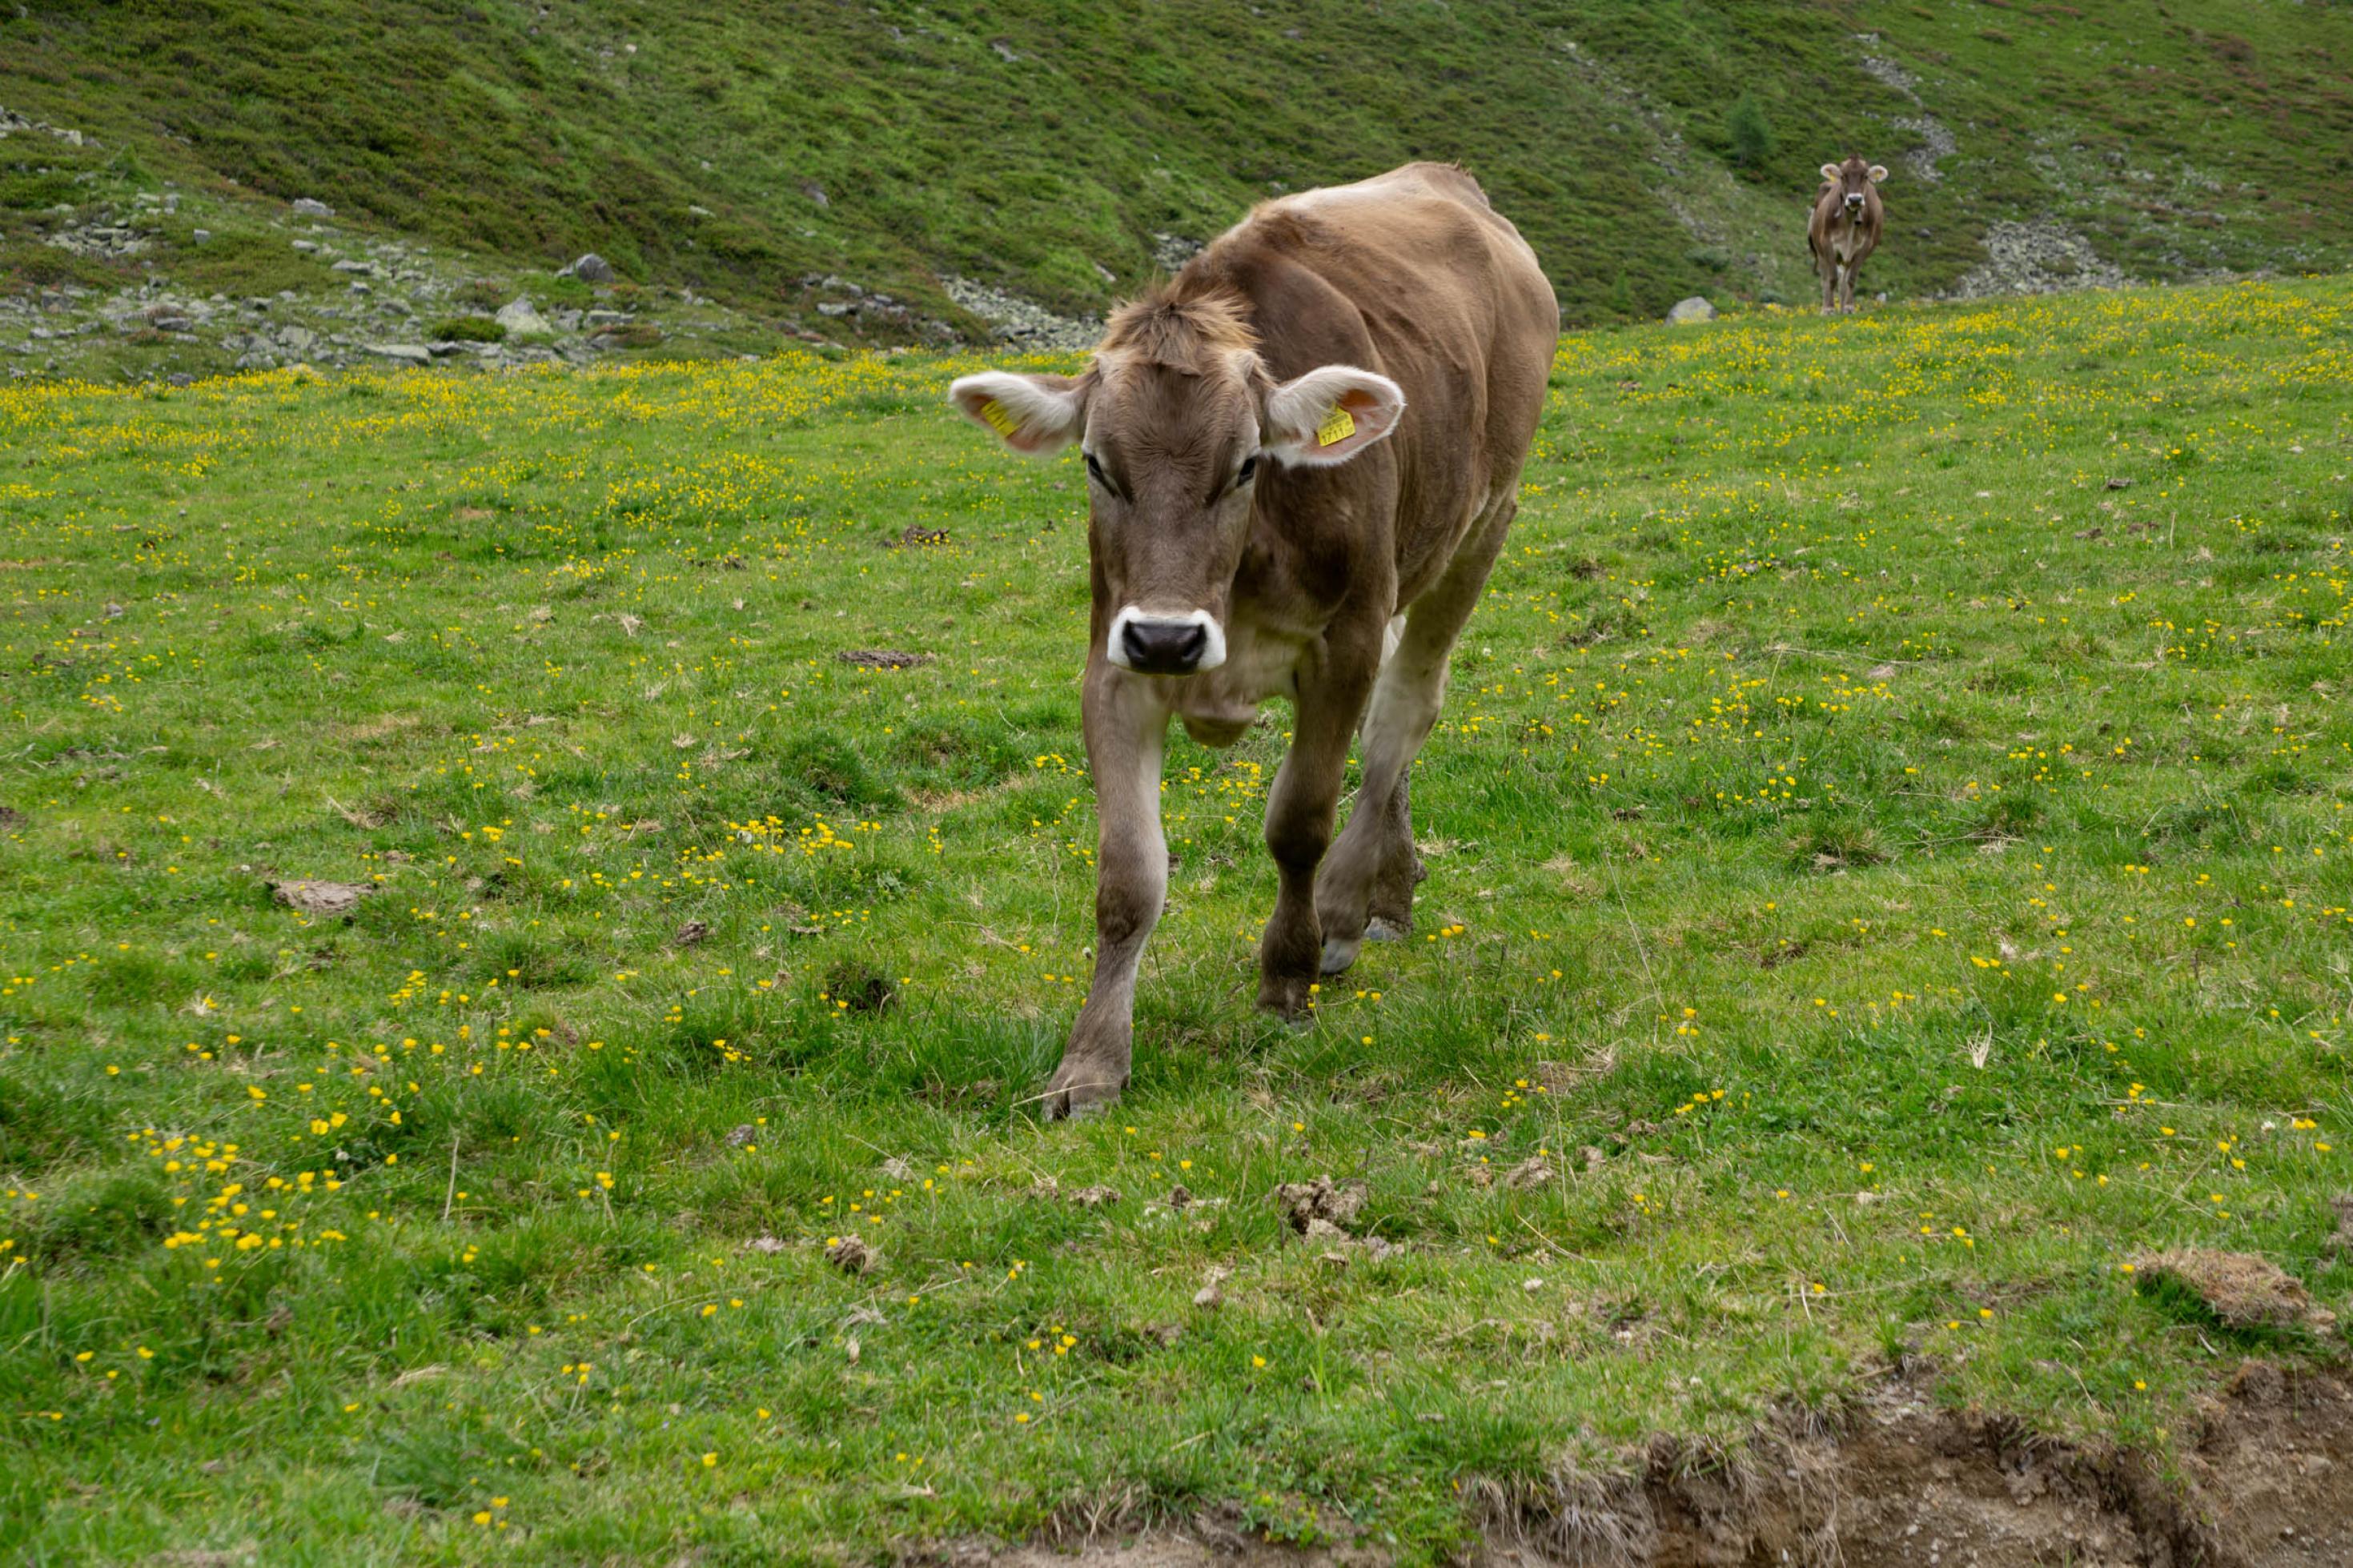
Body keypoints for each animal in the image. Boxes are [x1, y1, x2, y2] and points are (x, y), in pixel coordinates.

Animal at [946, 162, 1552, 1114]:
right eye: (1095, 465)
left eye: (1245, 464)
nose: (1168, 639)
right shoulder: (1113, 664)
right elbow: (1127, 875)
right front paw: (1091, 1063)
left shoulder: (1342, 644)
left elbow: (1299, 820)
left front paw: (1286, 978)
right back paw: (1391, 890)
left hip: (1482, 524)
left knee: (1402, 716)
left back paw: (1345, 909)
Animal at [1807, 154, 1882, 315]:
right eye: (1842, 176)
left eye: (1866, 176)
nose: (1855, 199)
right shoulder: (1827, 242)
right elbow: (1832, 278)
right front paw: (1829, 308)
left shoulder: (1866, 245)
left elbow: (1851, 279)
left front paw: (1848, 307)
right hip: (1820, 251)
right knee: (1825, 279)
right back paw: (1825, 309)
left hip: (1847, 258)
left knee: (1844, 281)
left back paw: (1842, 308)